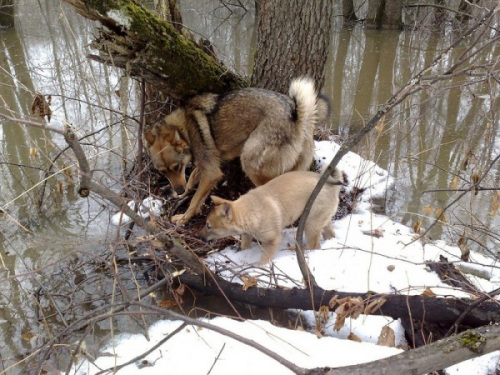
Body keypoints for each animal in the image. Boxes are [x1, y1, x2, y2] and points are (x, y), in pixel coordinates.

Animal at [200, 169, 344, 266]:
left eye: (208, 225)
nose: (198, 236)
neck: (249, 211)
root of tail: (332, 186)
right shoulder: (247, 235)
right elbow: (245, 245)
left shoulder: (271, 241)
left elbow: (264, 258)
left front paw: (258, 267)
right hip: (321, 220)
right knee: (329, 234)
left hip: (310, 223)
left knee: (314, 245)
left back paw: (296, 249)